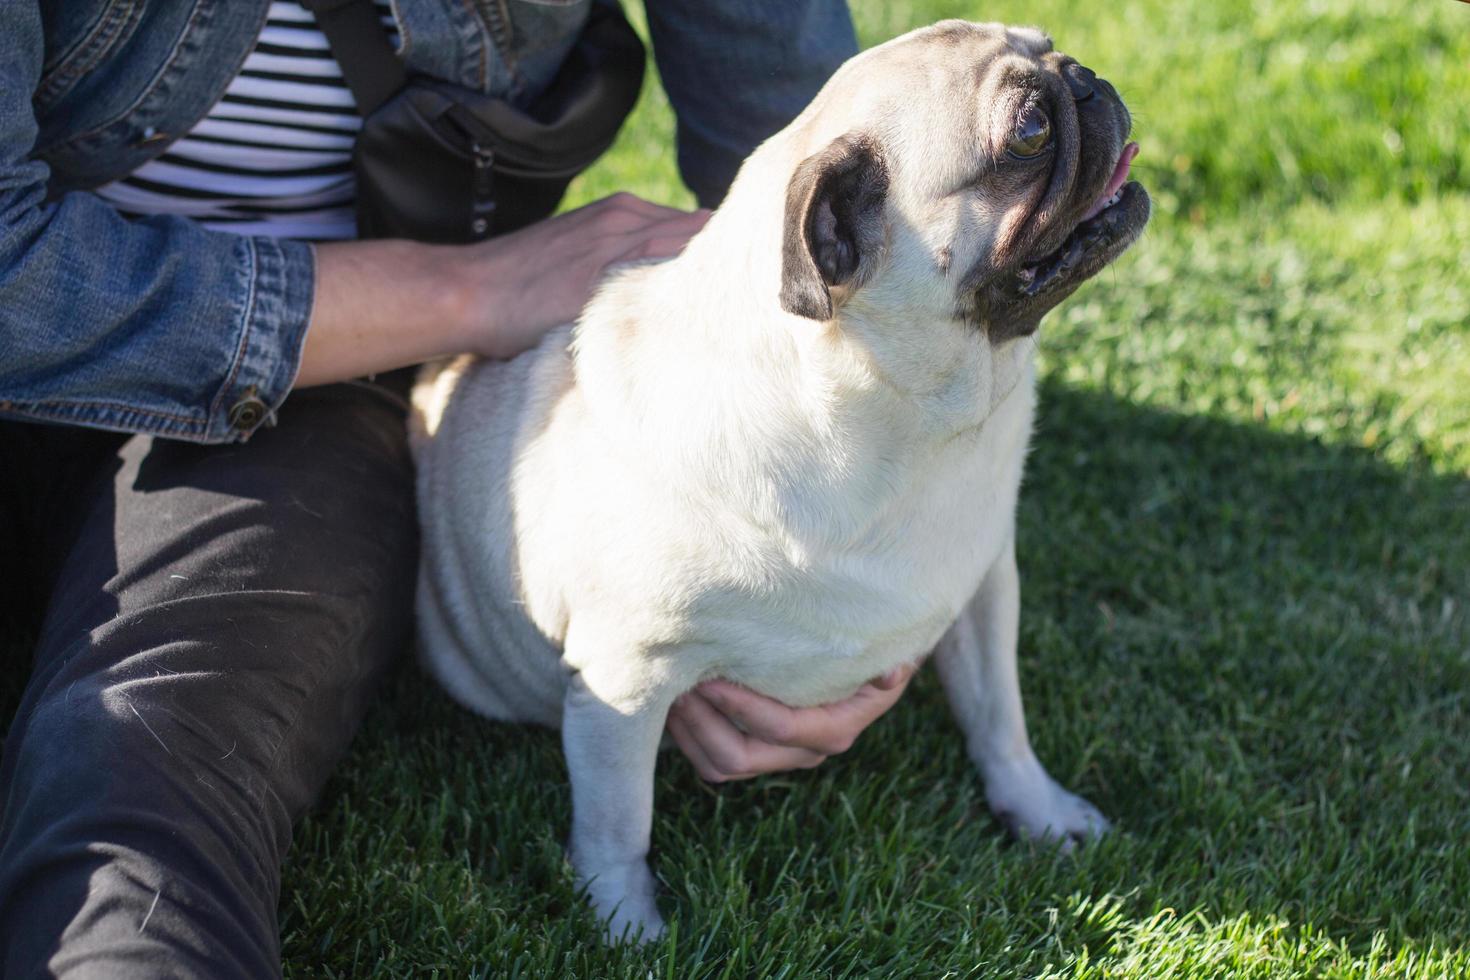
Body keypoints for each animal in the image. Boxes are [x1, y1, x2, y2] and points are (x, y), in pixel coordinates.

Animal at [411, 21, 1146, 940]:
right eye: (1029, 132)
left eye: (1052, 48)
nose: (1085, 81)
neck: (905, 430)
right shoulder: (625, 680)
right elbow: (617, 823)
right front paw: (625, 924)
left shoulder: (981, 591)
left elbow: (999, 721)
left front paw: (1037, 813)